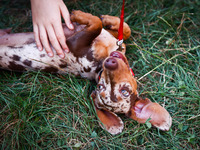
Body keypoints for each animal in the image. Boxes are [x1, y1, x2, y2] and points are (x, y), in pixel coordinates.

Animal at [0, 10, 172, 135]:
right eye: (101, 87)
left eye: (124, 91)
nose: (109, 63)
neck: (99, 66)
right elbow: (120, 28)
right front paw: (107, 19)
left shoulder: (74, 44)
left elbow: (97, 23)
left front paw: (77, 15)